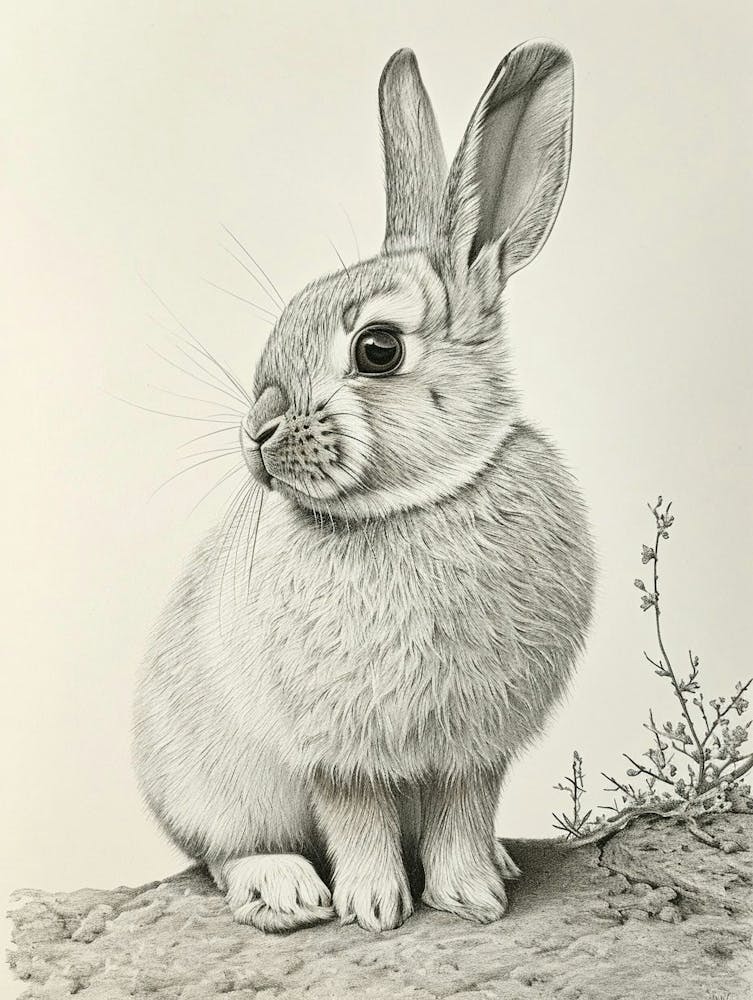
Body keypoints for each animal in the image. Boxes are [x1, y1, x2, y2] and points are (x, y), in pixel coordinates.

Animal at [133, 38, 595, 934]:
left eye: (377, 349)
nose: (257, 431)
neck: (415, 503)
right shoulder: (337, 745)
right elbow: (356, 816)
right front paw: (376, 906)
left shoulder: (473, 742)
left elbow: (461, 809)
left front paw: (470, 896)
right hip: (213, 787)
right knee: (222, 852)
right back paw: (285, 889)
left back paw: (497, 861)